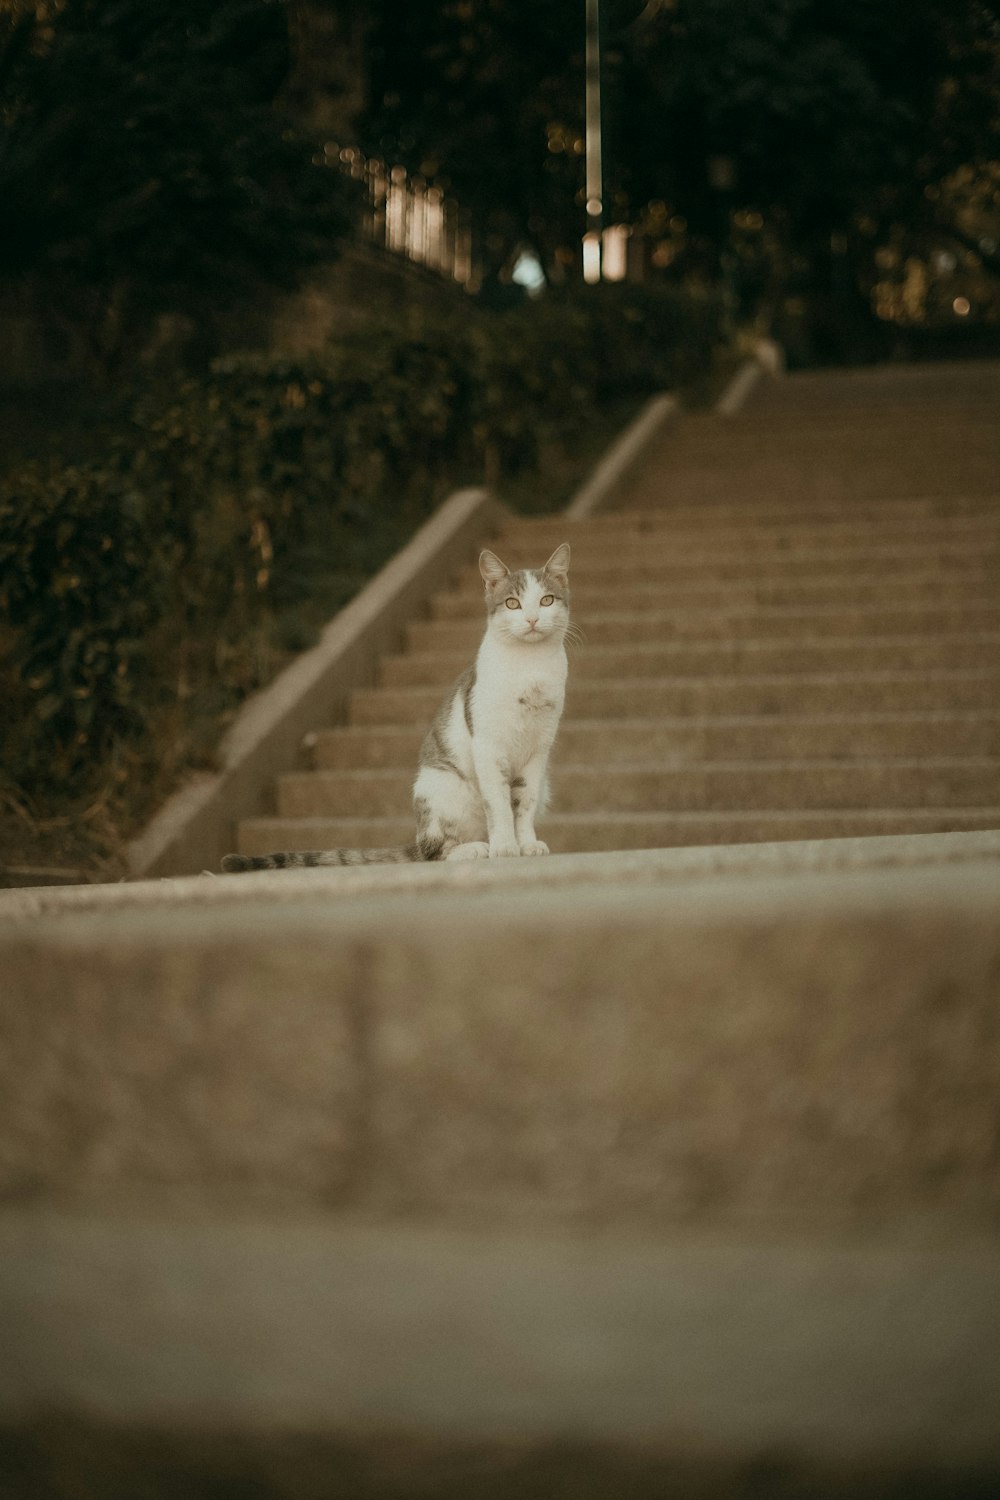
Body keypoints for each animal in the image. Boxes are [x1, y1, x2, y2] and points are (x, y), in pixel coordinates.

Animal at [223, 537, 575, 870]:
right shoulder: (488, 747)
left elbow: (524, 802)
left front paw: (526, 844)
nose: (532, 619)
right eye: (512, 604)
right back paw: (476, 848)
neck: (530, 668)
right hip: (443, 789)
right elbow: (499, 804)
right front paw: (504, 847)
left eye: (546, 600)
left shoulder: (538, 751)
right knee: (435, 850)